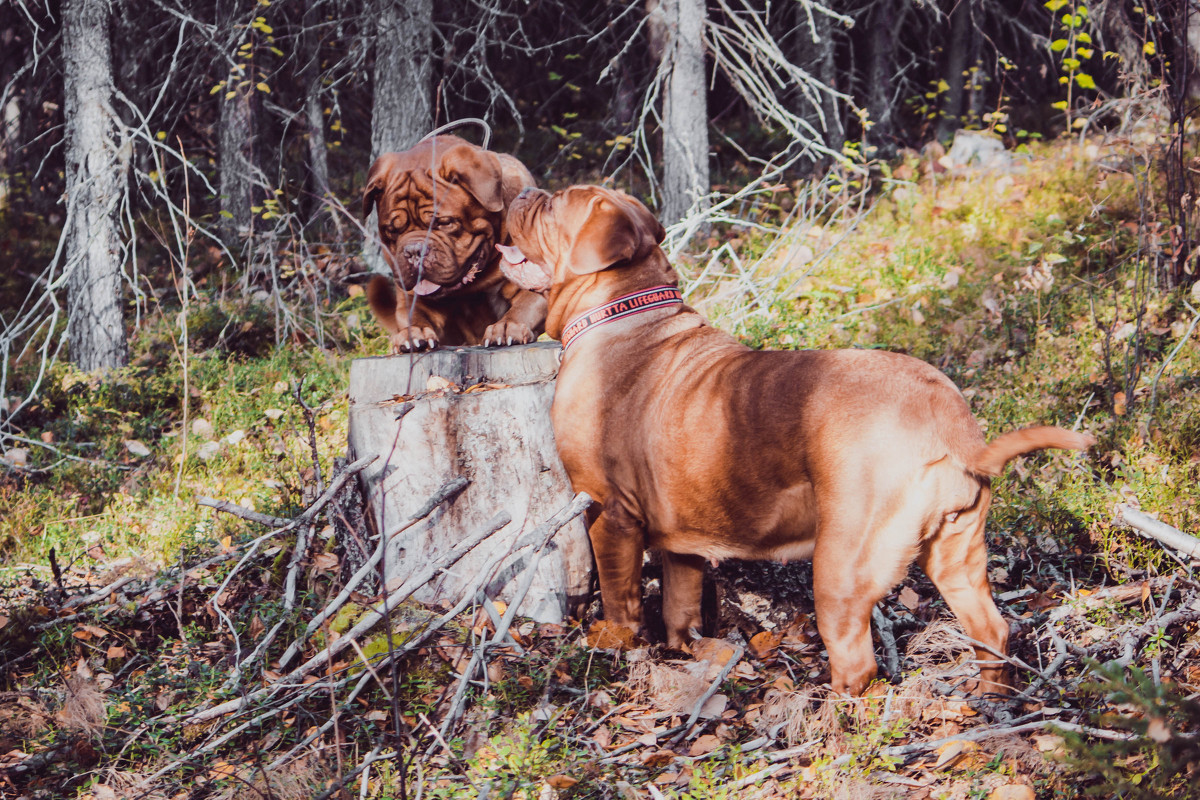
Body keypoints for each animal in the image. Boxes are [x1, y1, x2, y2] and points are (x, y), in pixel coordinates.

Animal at [360, 134, 549, 350]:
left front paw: (506, 327)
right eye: (392, 230)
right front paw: (414, 333)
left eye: (444, 222)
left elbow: (524, 306)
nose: (415, 250)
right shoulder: (412, 298)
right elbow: (413, 316)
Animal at [496, 183, 1099, 695]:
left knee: (857, 661)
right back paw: (989, 700)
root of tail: (945, 415)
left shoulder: (608, 512)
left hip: (841, 565)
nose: (521, 191)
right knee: (991, 631)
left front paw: (613, 645)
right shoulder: (682, 540)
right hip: (958, 552)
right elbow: (679, 606)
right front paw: (685, 651)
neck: (623, 311)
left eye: (553, 203)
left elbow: (621, 599)